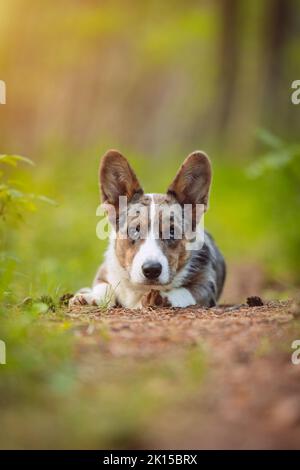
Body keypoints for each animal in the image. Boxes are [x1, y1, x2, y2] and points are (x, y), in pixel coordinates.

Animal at [69, 149, 225, 306]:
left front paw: (162, 298)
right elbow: (104, 287)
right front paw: (91, 298)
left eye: (172, 232)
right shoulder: (105, 272)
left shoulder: (206, 286)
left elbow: (184, 292)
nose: (151, 270)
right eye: (135, 230)